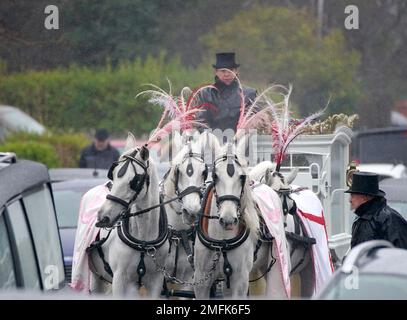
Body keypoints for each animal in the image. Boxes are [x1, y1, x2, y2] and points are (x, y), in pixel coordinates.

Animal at [88, 133, 170, 298]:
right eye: (113, 175)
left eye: (135, 181)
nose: (104, 217)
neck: (144, 240)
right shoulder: (120, 279)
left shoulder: (156, 281)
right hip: (96, 277)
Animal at [193, 134, 260, 298]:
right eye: (215, 176)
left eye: (242, 177)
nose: (228, 220)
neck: (222, 241)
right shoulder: (201, 280)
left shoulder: (240, 280)